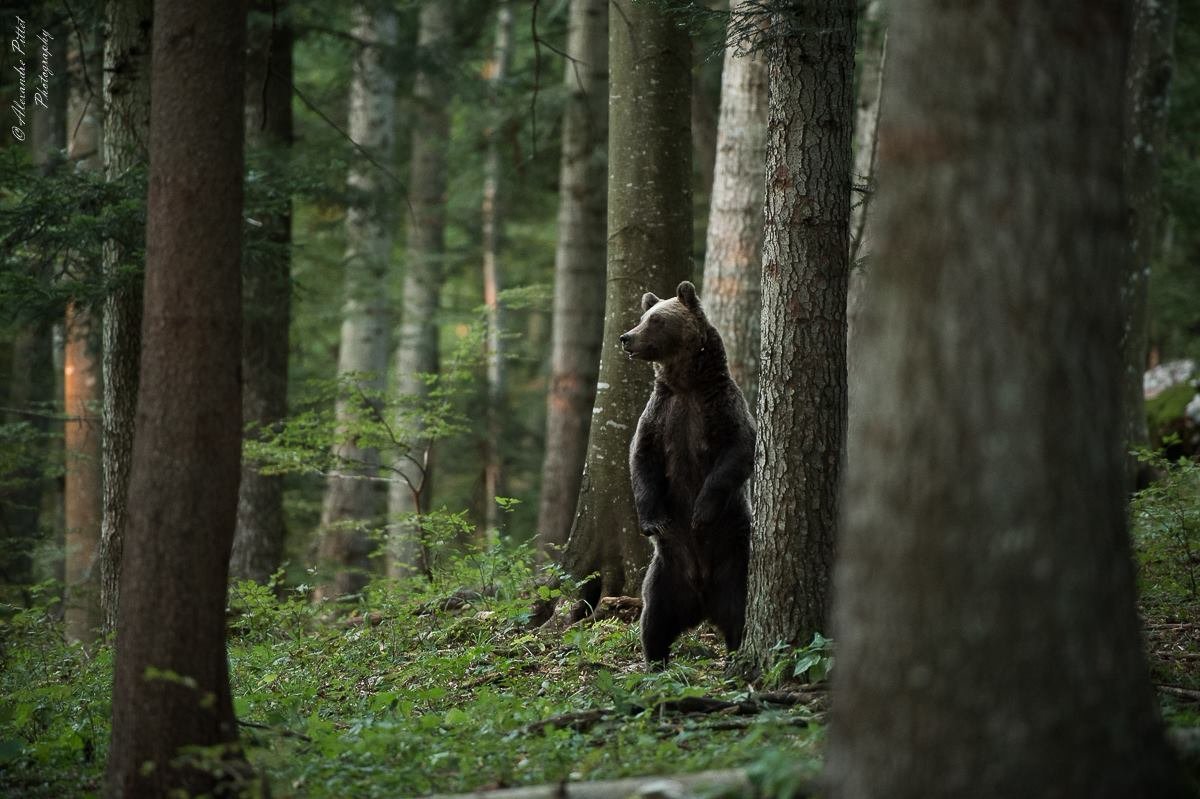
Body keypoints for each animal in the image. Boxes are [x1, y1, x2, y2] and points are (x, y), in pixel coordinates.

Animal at [619, 277, 748, 662]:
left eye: (656, 320)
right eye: (643, 316)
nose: (626, 337)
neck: (687, 384)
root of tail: (702, 599)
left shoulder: (721, 408)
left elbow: (736, 454)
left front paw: (700, 513)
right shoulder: (660, 415)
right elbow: (641, 460)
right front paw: (653, 522)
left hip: (735, 562)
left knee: (739, 614)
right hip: (665, 574)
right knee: (654, 619)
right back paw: (654, 660)